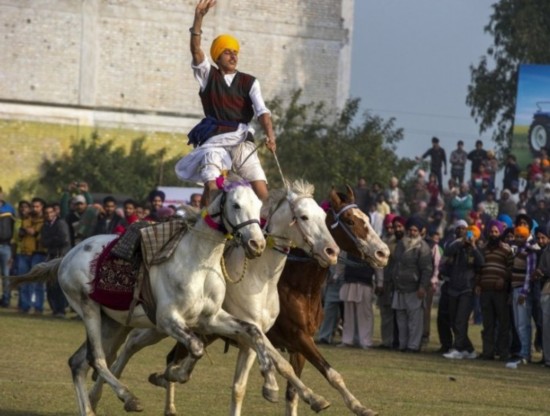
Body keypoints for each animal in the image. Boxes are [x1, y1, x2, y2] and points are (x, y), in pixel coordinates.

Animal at [13, 180, 280, 416]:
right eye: (236, 205)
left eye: (259, 206)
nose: (256, 244)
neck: (198, 262)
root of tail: (67, 256)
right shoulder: (167, 320)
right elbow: (196, 347)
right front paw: (171, 375)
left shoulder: (210, 319)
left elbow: (253, 332)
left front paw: (271, 384)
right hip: (88, 310)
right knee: (97, 359)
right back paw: (129, 398)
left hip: (112, 322)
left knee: (77, 363)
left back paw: (89, 410)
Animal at [89, 180, 340, 416]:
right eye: (304, 217)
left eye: (324, 217)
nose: (332, 251)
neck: (261, 279)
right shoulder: (259, 335)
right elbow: (278, 364)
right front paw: (283, 391)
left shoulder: (259, 336)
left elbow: (251, 380)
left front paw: (313, 397)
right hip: (160, 323)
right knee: (131, 345)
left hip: (159, 326)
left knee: (135, 346)